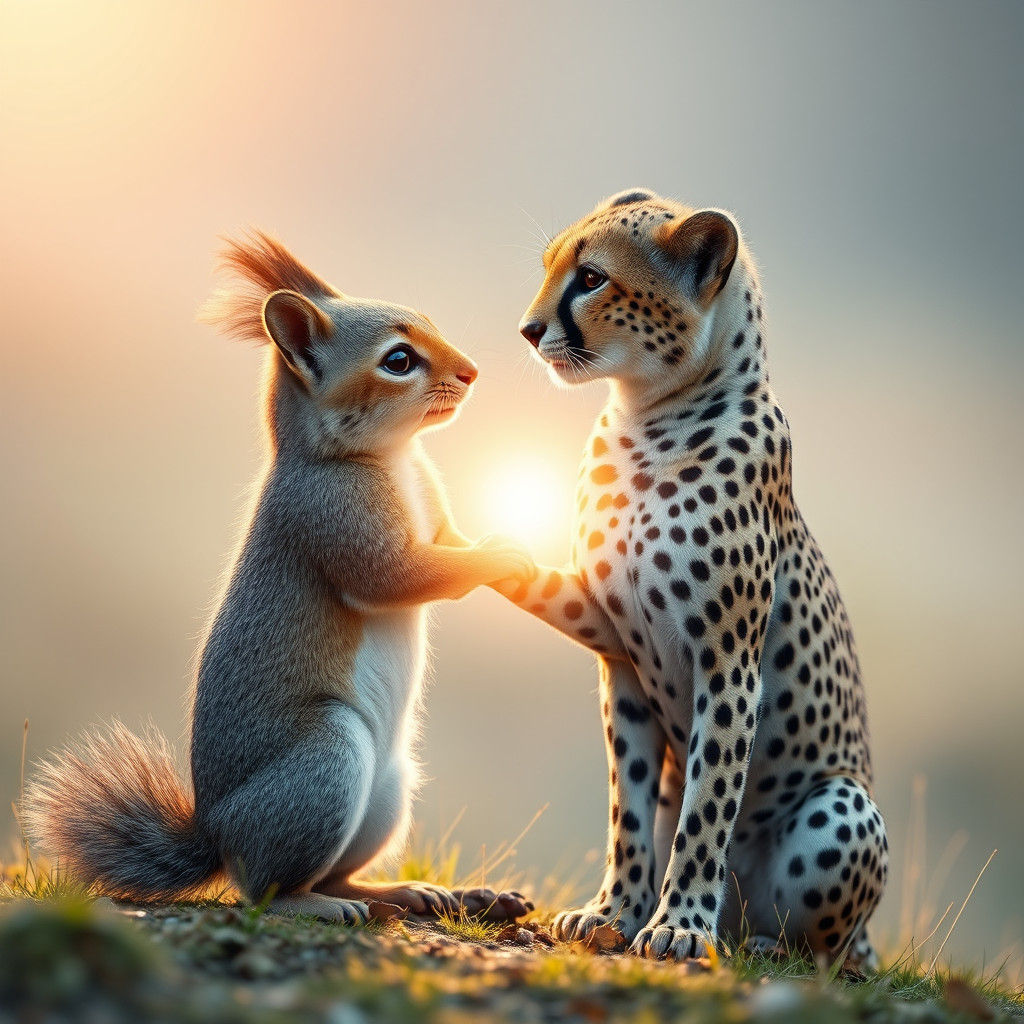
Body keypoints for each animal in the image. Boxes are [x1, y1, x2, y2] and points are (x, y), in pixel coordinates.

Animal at [23, 232, 535, 923]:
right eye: (398, 360)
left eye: (430, 322)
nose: (471, 372)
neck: (393, 456)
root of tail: (217, 834)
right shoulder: (330, 517)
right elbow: (400, 575)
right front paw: (506, 553)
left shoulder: (434, 511)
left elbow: (446, 546)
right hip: (325, 763)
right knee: (266, 887)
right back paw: (315, 906)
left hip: (386, 792)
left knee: (339, 875)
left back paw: (413, 893)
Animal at [493, 188, 888, 966]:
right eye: (551, 266)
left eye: (592, 278)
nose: (527, 329)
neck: (645, 418)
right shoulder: (619, 655)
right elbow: (630, 810)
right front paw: (615, 911)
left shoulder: (729, 667)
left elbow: (706, 809)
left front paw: (678, 922)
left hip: (844, 808)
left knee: (830, 949)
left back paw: (762, 945)